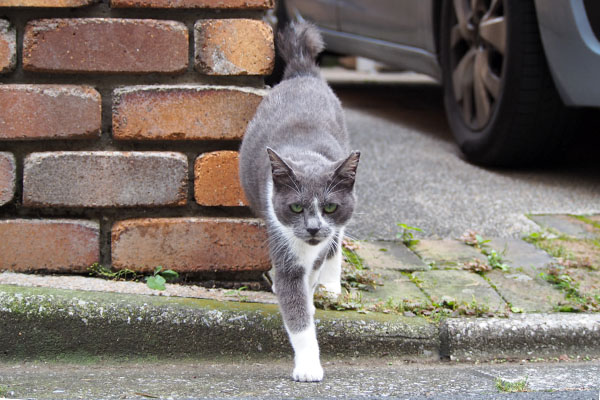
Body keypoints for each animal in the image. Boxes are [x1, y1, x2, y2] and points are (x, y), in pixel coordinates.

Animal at [239, 21, 360, 382]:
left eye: (330, 206)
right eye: (295, 207)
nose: (314, 228)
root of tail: (303, 71)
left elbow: (311, 275)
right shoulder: (283, 241)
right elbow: (297, 308)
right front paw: (308, 366)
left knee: (335, 244)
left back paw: (330, 285)